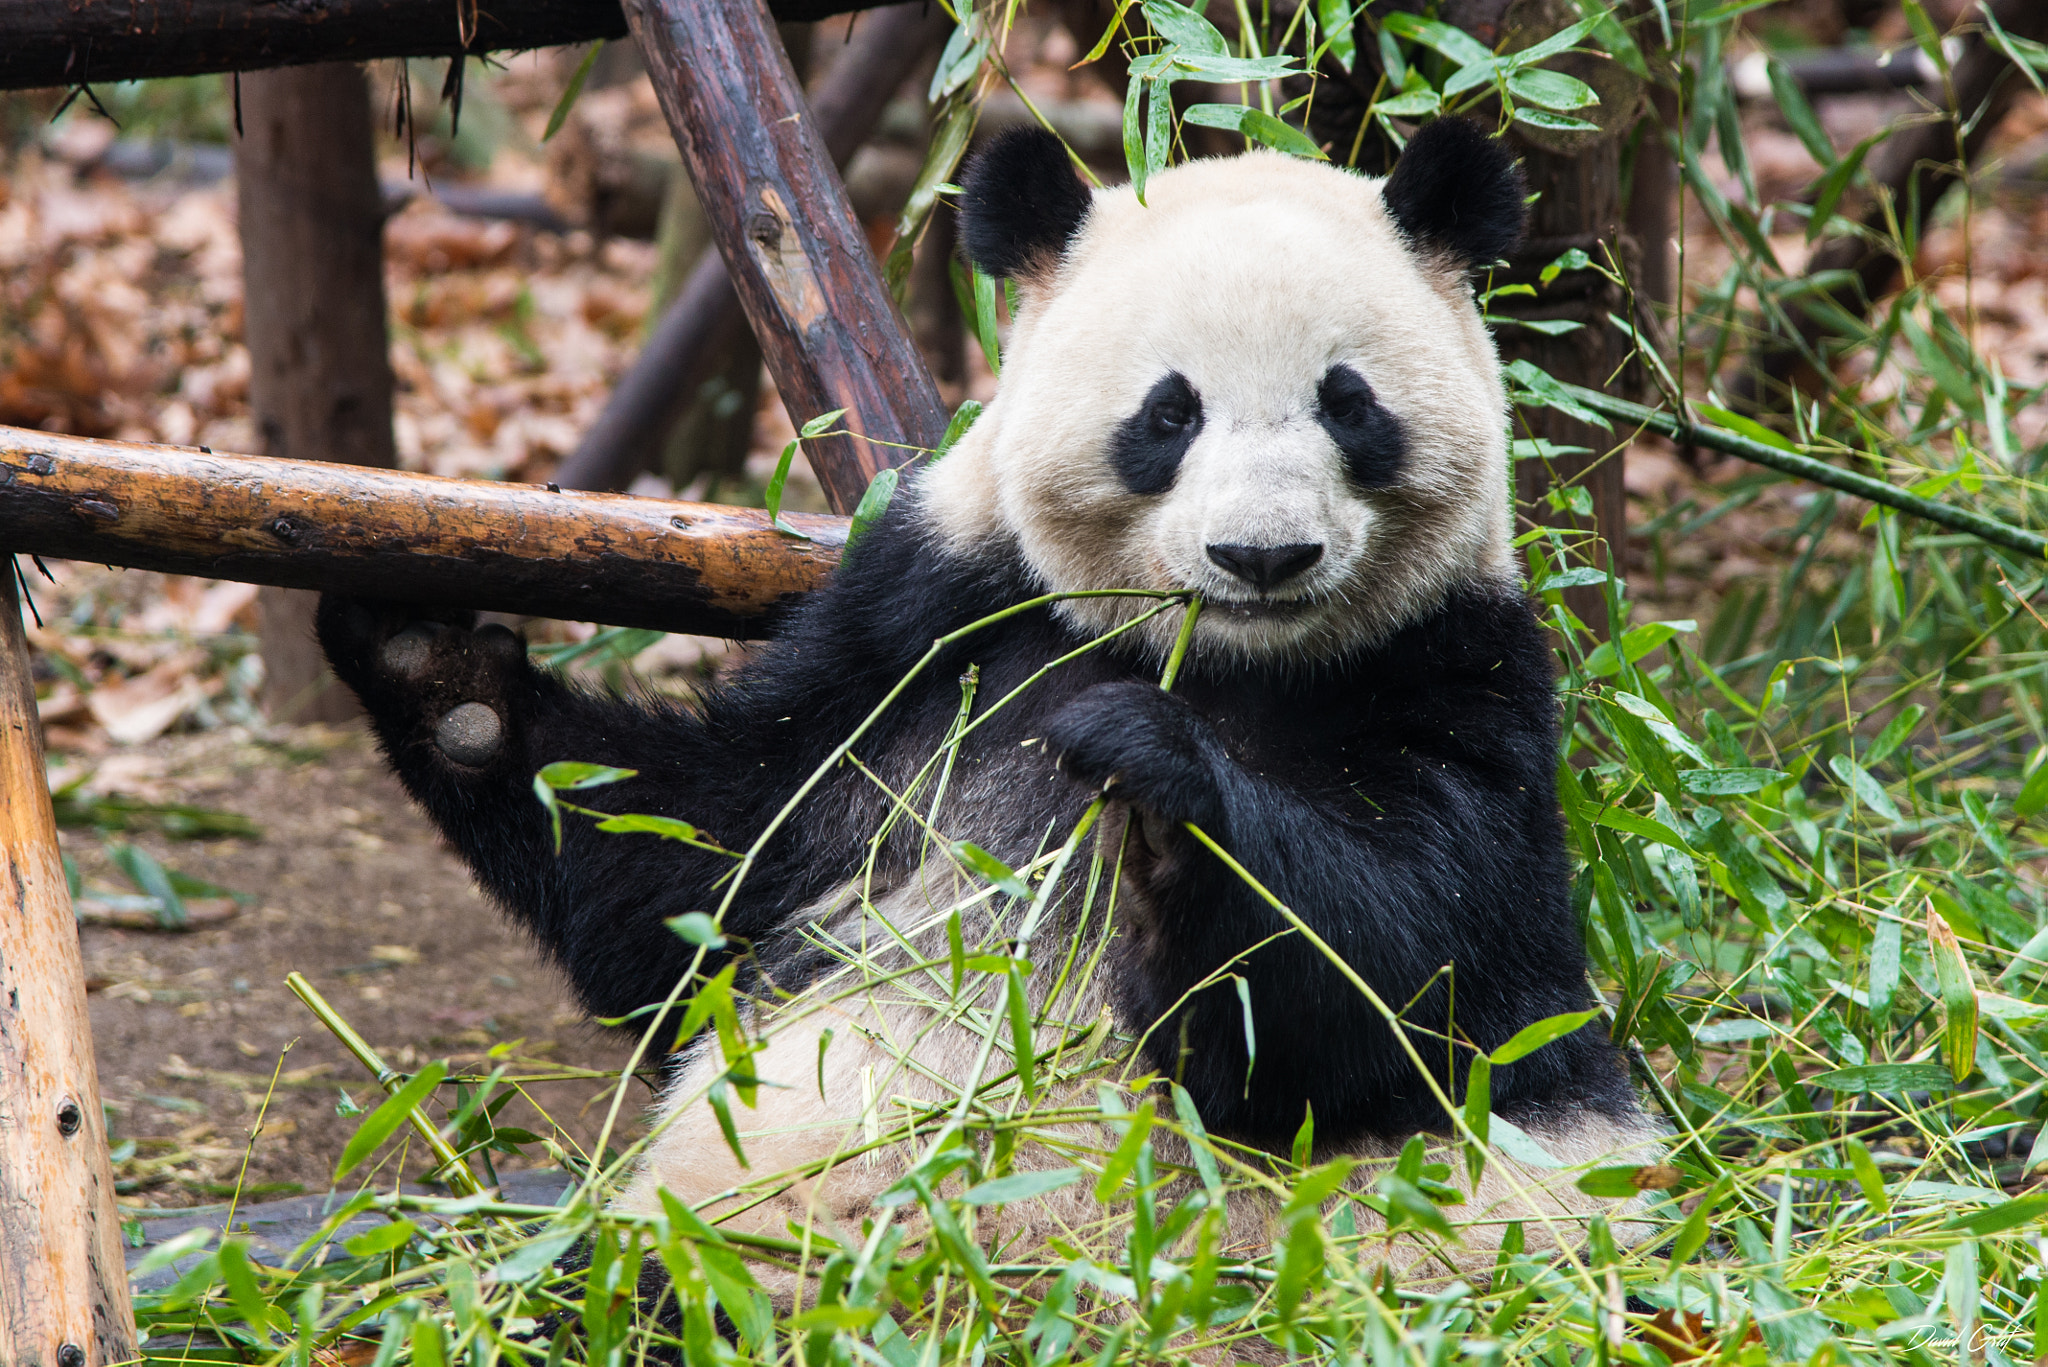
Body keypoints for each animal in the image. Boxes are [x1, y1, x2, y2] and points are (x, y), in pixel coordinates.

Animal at [317, 116, 1659, 1290]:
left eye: (1347, 402)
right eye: (1168, 411)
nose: (1263, 557)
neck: (1221, 661)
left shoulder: (1458, 677)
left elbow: (1404, 975)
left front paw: (1160, 786)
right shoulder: (925, 633)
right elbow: (700, 873)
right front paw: (432, 665)